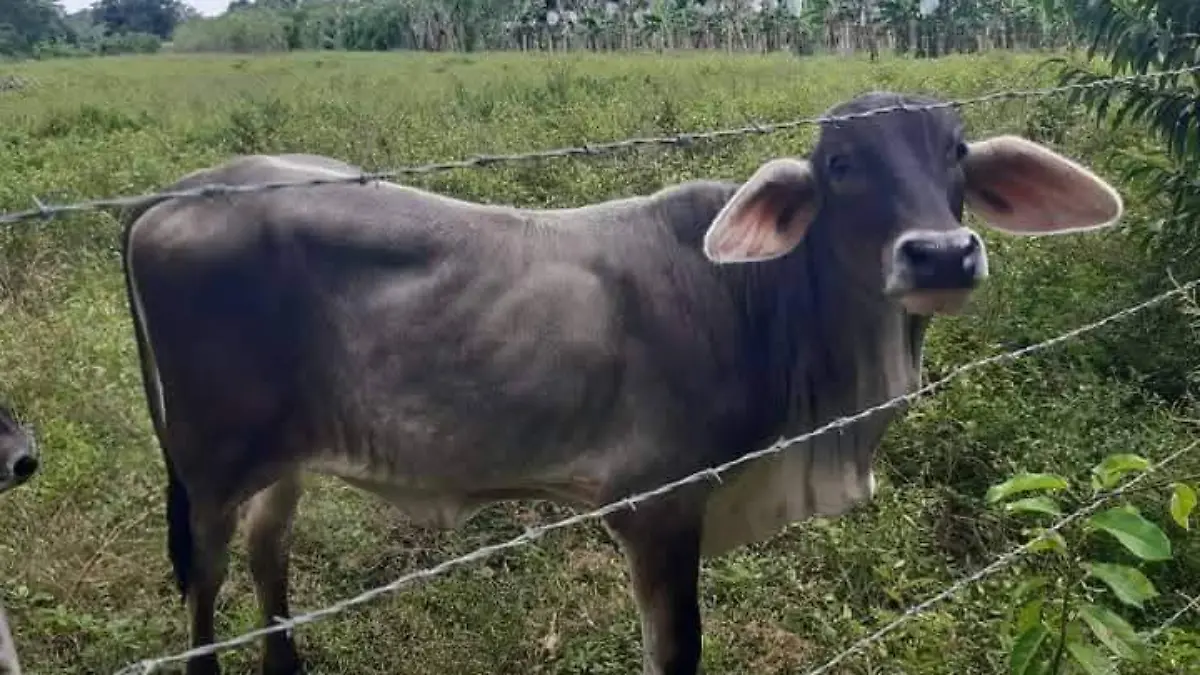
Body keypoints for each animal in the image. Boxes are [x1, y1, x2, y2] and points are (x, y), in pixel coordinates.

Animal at [118, 91, 1123, 675]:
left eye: (956, 152)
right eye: (841, 165)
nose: (942, 254)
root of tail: (173, 194)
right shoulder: (658, 506)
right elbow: (674, 651)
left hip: (281, 457)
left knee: (268, 550)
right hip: (207, 468)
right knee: (206, 584)